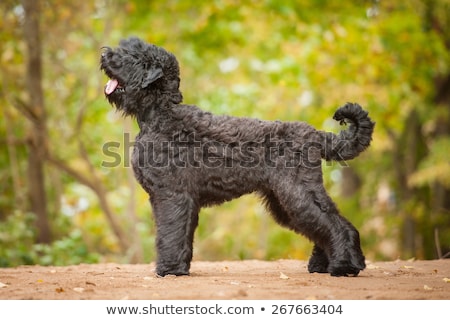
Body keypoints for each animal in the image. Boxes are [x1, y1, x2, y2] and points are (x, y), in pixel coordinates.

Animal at [100, 37, 374, 278]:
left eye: (134, 57)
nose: (105, 55)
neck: (161, 115)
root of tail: (316, 135)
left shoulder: (171, 194)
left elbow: (170, 232)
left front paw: (169, 270)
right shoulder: (179, 198)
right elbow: (181, 235)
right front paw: (180, 268)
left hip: (297, 194)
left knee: (335, 224)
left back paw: (345, 267)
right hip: (284, 200)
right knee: (324, 225)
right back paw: (324, 265)